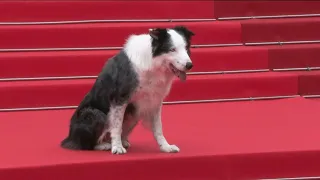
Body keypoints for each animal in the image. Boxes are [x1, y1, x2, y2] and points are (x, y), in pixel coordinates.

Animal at [61, 25, 194, 155]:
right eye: (172, 49)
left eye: (186, 48)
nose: (189, 65)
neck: (153, 63)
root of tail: (69, 138)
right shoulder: (120, 98)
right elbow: (117, 126)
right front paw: (117, 147)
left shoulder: (154, 100)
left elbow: (158, 128)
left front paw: (166, 147)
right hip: (94, 114)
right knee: (87, 145)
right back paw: (105, 145)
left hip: (134, 114)